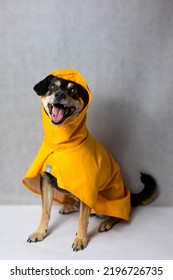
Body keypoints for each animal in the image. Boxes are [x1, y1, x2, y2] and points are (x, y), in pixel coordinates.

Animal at [23, 69, 157, 250]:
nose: (59, 94)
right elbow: (45, 211)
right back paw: (69, 206)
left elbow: (82, 219)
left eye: (73, 91)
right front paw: (40, 232)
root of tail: (128, 194)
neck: (62, 146)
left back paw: (106, 222)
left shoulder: (86, 188)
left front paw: (80, 239)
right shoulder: (46, 181)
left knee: (119, 214)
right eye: (52, 87)